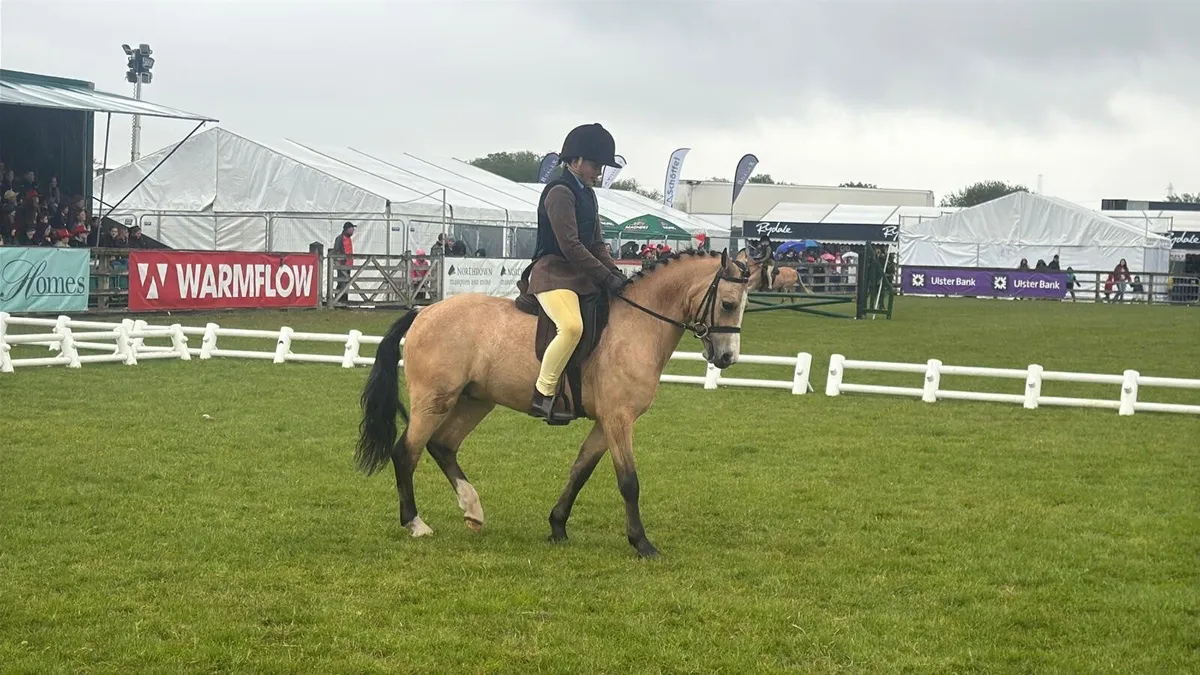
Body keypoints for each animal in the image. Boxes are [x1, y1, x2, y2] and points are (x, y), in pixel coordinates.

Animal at [355, 249, 751, 557]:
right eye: (728, 304)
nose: (726, 358)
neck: (637, 326)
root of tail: (424, 312)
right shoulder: (619, 418)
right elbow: (629, 481)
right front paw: (642, 544)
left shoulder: (605, 421)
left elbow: (580, 471)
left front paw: (557, 526)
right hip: (434, 400)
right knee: (406, 452)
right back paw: (416, 524)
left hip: (475, 400)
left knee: (442, 445)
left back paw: (473, 510)